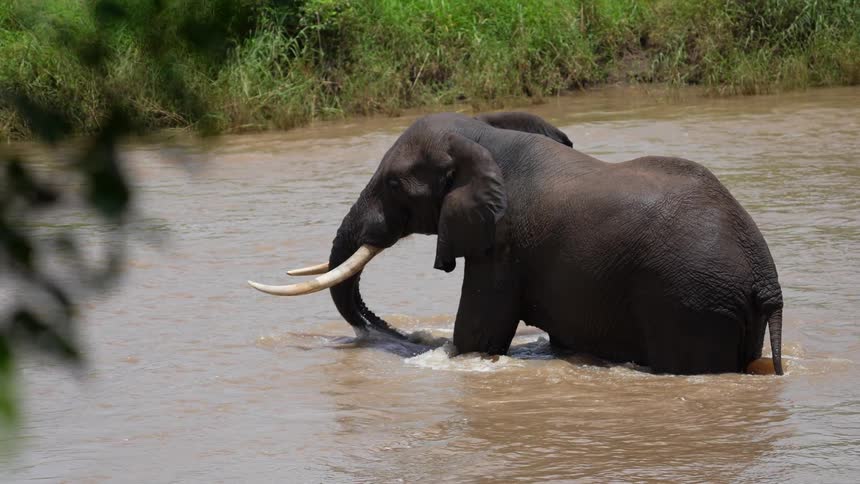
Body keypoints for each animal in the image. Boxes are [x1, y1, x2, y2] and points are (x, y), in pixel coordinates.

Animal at [249, 112, 784, 375]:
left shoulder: (502, 243)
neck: (483, 137)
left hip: (691, 303)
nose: (406, 336)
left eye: (395, 184)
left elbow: (477, 335)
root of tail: (765, 279)